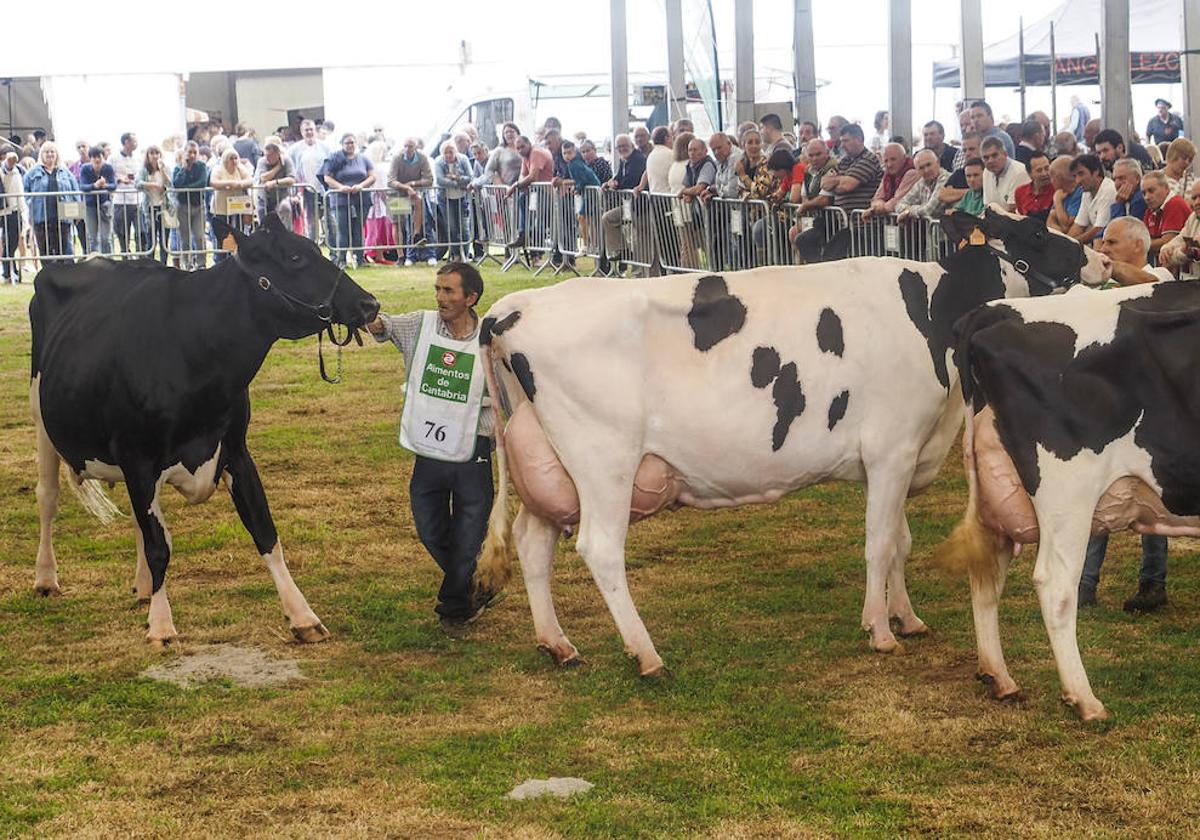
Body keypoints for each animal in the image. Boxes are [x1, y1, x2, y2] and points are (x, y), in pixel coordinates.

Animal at [29, 214, 379, 643]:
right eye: (295, 257)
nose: (369, 304)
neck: (194, 348)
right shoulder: (137, 456)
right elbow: (160, 546)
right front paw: (162, 625)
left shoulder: (234, 450)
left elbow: (265, 531)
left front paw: (303, 616)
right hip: (41, 417)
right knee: (48, 497)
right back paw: (46, 578)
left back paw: (142, 585)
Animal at [472, 210, 1108, 676]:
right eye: (1034, 232)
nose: (1099, 255)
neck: (931, 312)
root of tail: (510, 307)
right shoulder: (893, 448)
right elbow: (879, 544)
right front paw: (880, 632)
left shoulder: (898, 457)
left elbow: (899, 541)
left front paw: (906, 617)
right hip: (603, 460)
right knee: (599, 549)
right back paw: (646, 654)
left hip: (548, 460)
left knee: (532, 540)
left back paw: (557, 643)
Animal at [940, 277, 1200, 720]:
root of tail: (994, 310)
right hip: (1068, 493)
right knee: (1056, 584)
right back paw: (1084, 699)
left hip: (997, 492)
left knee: (986, 573)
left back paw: (1000, 679)